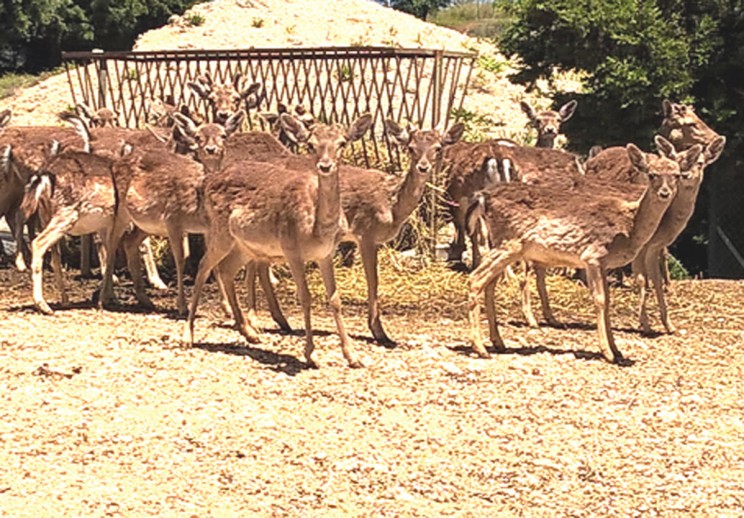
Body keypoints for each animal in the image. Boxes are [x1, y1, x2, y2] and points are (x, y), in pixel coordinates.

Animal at [184, 114, 374, 370]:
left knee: (226, 269)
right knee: (204, 266)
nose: (325, 166)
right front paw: (311, 355)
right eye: (311, 144)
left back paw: (250, 333)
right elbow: (306, 297)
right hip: (220, 231)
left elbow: (335, 300)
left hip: (244, 245)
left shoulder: (325, 254)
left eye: (342, 143)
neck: (317, 229)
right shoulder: (291, 249)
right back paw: (187, 335)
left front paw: (353, 357)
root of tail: (208, 182)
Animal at [464, 140, 704, 364]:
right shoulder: (593, 255)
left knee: (489, 284)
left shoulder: (605, 264)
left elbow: (608, 302)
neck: (629, 227)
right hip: (509, 242)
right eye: (652, 174)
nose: (665, 193)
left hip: (504, 245)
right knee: (475, 279)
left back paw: (498, 342)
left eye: (676, 175)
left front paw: (617, 350)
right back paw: (481, 348)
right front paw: (607, 352)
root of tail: (483, 197)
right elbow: (599, 300)